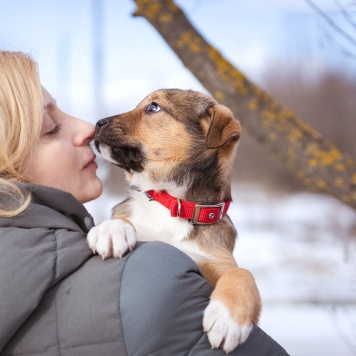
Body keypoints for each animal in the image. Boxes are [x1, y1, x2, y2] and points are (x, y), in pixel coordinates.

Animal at [87, 89, 262, 354]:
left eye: (154, 107)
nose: (97, 123)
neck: (173, 202)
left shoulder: (217, 263)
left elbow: (242, 273)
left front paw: (228, 319)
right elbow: (122, 219)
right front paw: (110, 231)